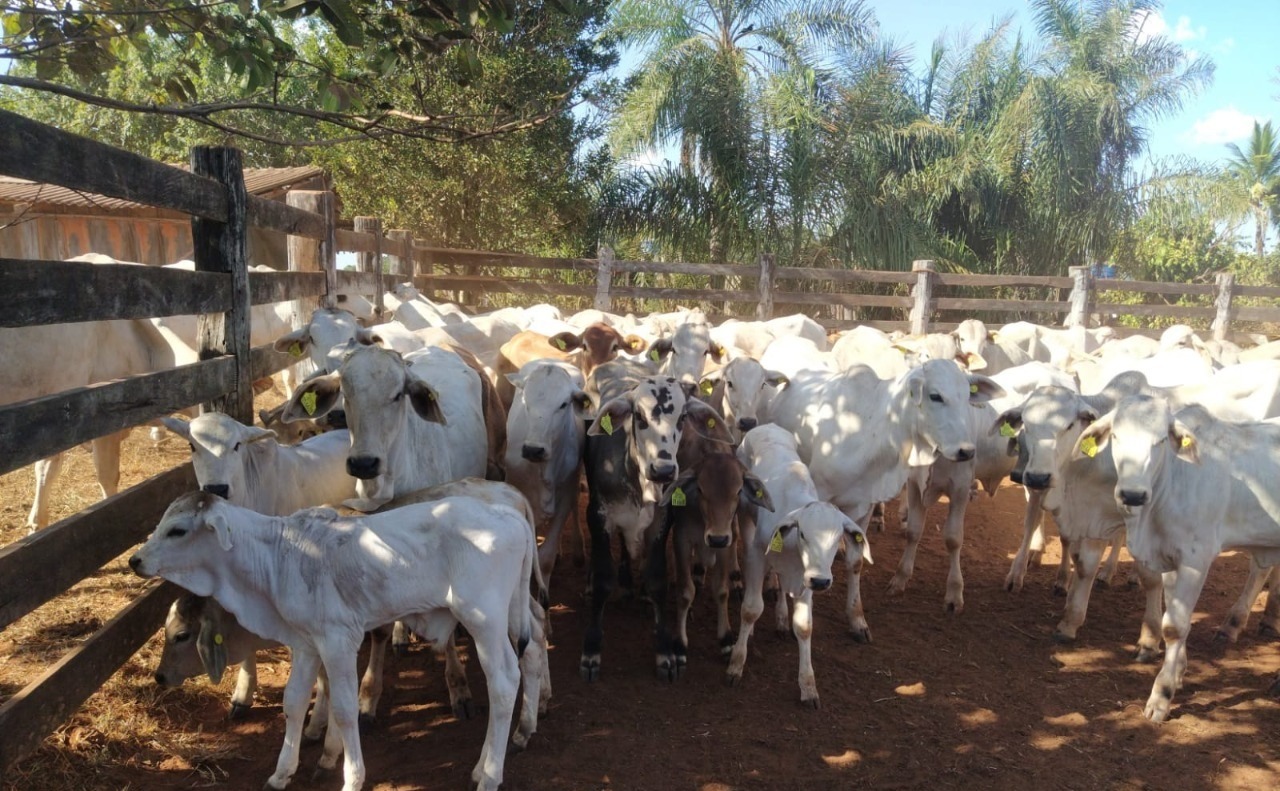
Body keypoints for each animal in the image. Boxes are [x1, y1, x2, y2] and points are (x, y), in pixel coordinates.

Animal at [131, 491, 545, 788]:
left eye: (177, 530)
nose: (135, 560)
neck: (279, 554)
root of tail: (508, 514)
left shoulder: (338, 640)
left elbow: (345, 710)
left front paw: (351, 777)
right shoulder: (305, 643)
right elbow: (294, 703)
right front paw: (281, 773)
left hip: (483, 620)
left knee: (504, 682)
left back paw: (489, 775)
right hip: (511, 614)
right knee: (531, 652)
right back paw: (513, 740)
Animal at [583, 360, 691, 680]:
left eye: (683, 417)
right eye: (639, 416)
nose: (663, 470)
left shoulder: (661, 521)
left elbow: (657, 580)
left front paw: (665, 652)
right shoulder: (598, 516)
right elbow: (603, 580)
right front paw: (591, 650)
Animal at [727, 422, 875, 706]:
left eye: (838, 539)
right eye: (804, 533)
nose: (822, 581)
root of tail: (765, 426)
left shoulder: (806, 578)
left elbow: (804, 627)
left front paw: (808, 686)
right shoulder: (758, 557)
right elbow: (751, 609)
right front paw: (736, 664)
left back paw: (782, 617)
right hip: (745, 518)